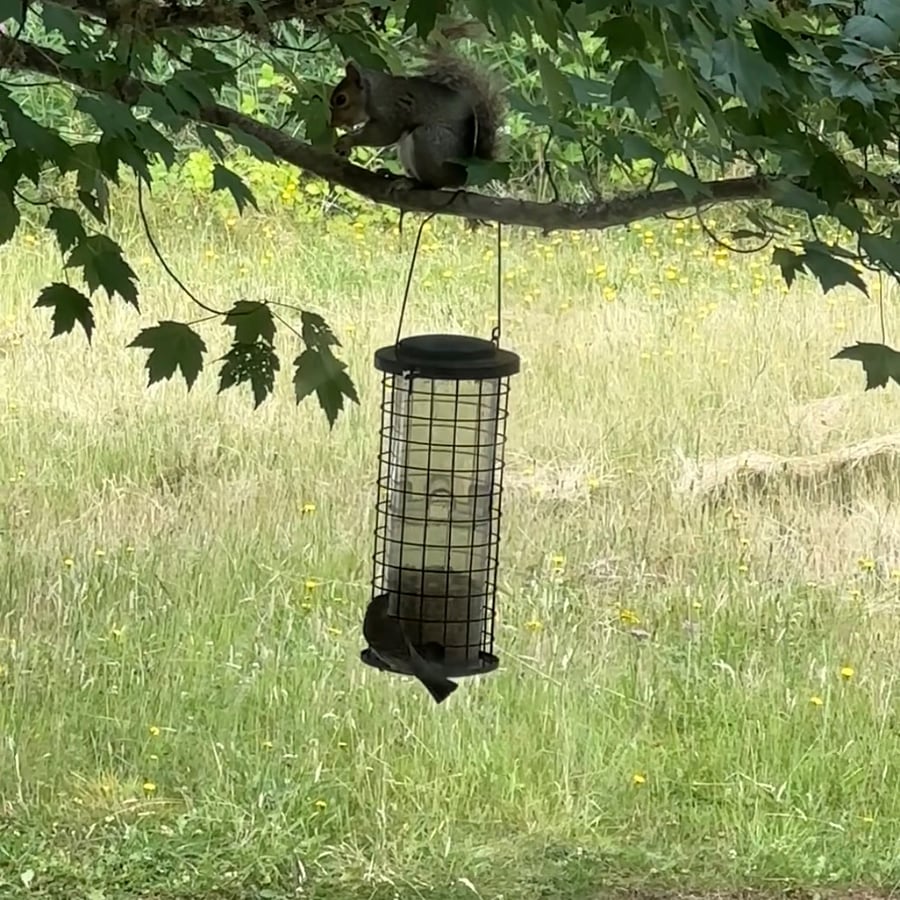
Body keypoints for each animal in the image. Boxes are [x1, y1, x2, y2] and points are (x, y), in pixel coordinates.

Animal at [328, 53, 505, 190]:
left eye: (341, 99)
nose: (332, 124)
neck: (374, 92)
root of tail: (461, 176)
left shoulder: (393, 111)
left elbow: (384, 134)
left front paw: (347, 141)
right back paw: (396, 176)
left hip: (427, 141)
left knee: (434, 184)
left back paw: (413, 184)